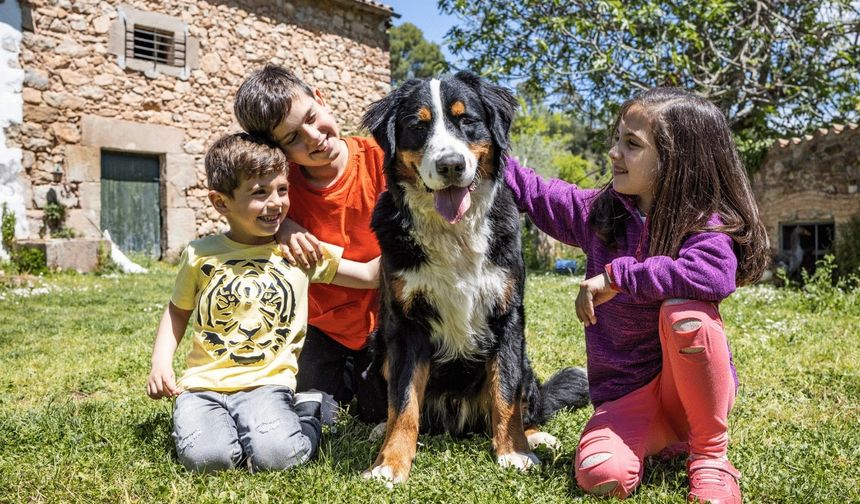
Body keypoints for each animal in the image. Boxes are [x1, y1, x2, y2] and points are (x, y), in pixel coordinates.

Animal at [360, 71, 588, 484]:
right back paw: (378, 430)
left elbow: (506, 393)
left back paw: (537, 435)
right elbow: (402, 402)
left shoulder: (507, 315)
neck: (454, 233)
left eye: (466, 120)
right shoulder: (406, 325)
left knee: (524, 401)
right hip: (377, 348)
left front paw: (515, 452)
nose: (450, 165)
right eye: (418, 125)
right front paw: (390, 463)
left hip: (525, 359)